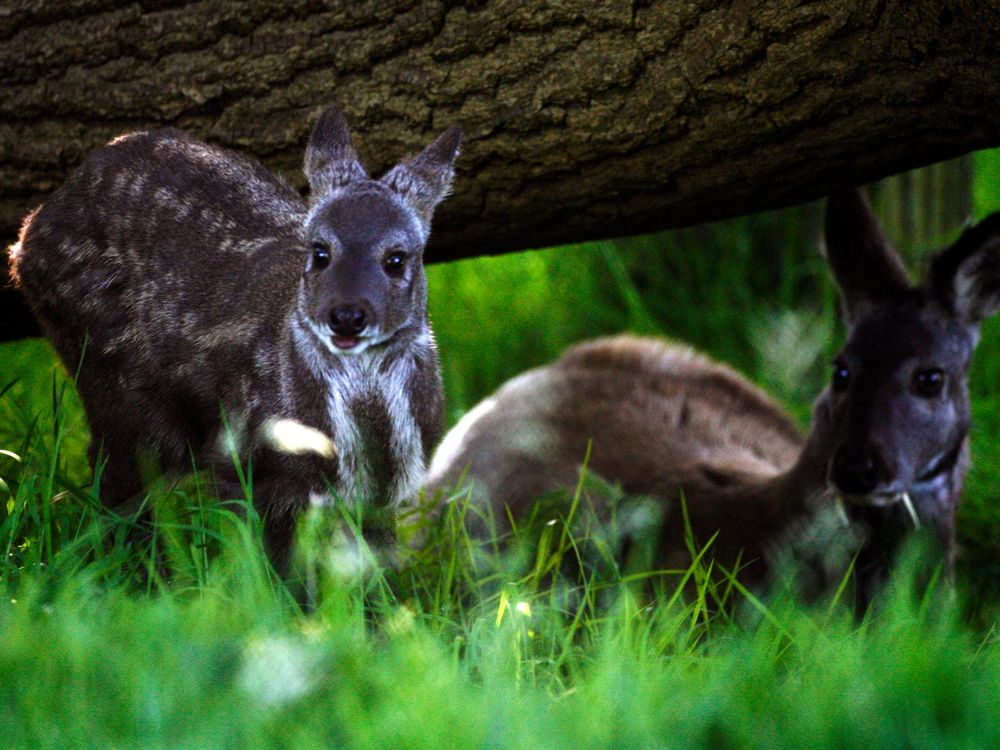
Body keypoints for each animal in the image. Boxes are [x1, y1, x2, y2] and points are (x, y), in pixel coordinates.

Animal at [9, 107, 462, 564]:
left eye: (396, 258)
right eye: (320, 251)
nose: (347, 316)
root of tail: (25, 238)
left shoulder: (383, 497)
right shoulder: (248, 464)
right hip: (107, 365)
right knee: (122, 473)